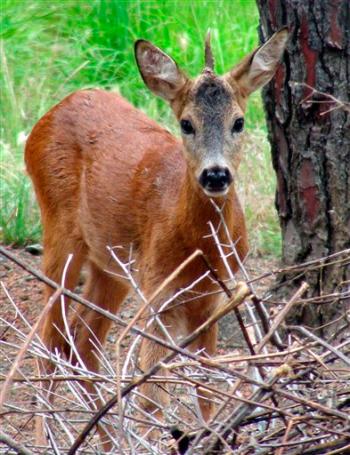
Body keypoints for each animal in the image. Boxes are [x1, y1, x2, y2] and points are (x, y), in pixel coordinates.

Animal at [24, 29, 288, 452]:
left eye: (239, 122)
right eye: (186, 124)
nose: (216, 175)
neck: (200, 247)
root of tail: (47, 116)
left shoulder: (215, 298)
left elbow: (206, 385)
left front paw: (210, 435)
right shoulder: (158, 293)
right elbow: (152, 394)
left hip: (110, 265)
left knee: (82, 340)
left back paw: (107, 439)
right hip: (60, 233)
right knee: (48, 338)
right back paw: (47, 437)